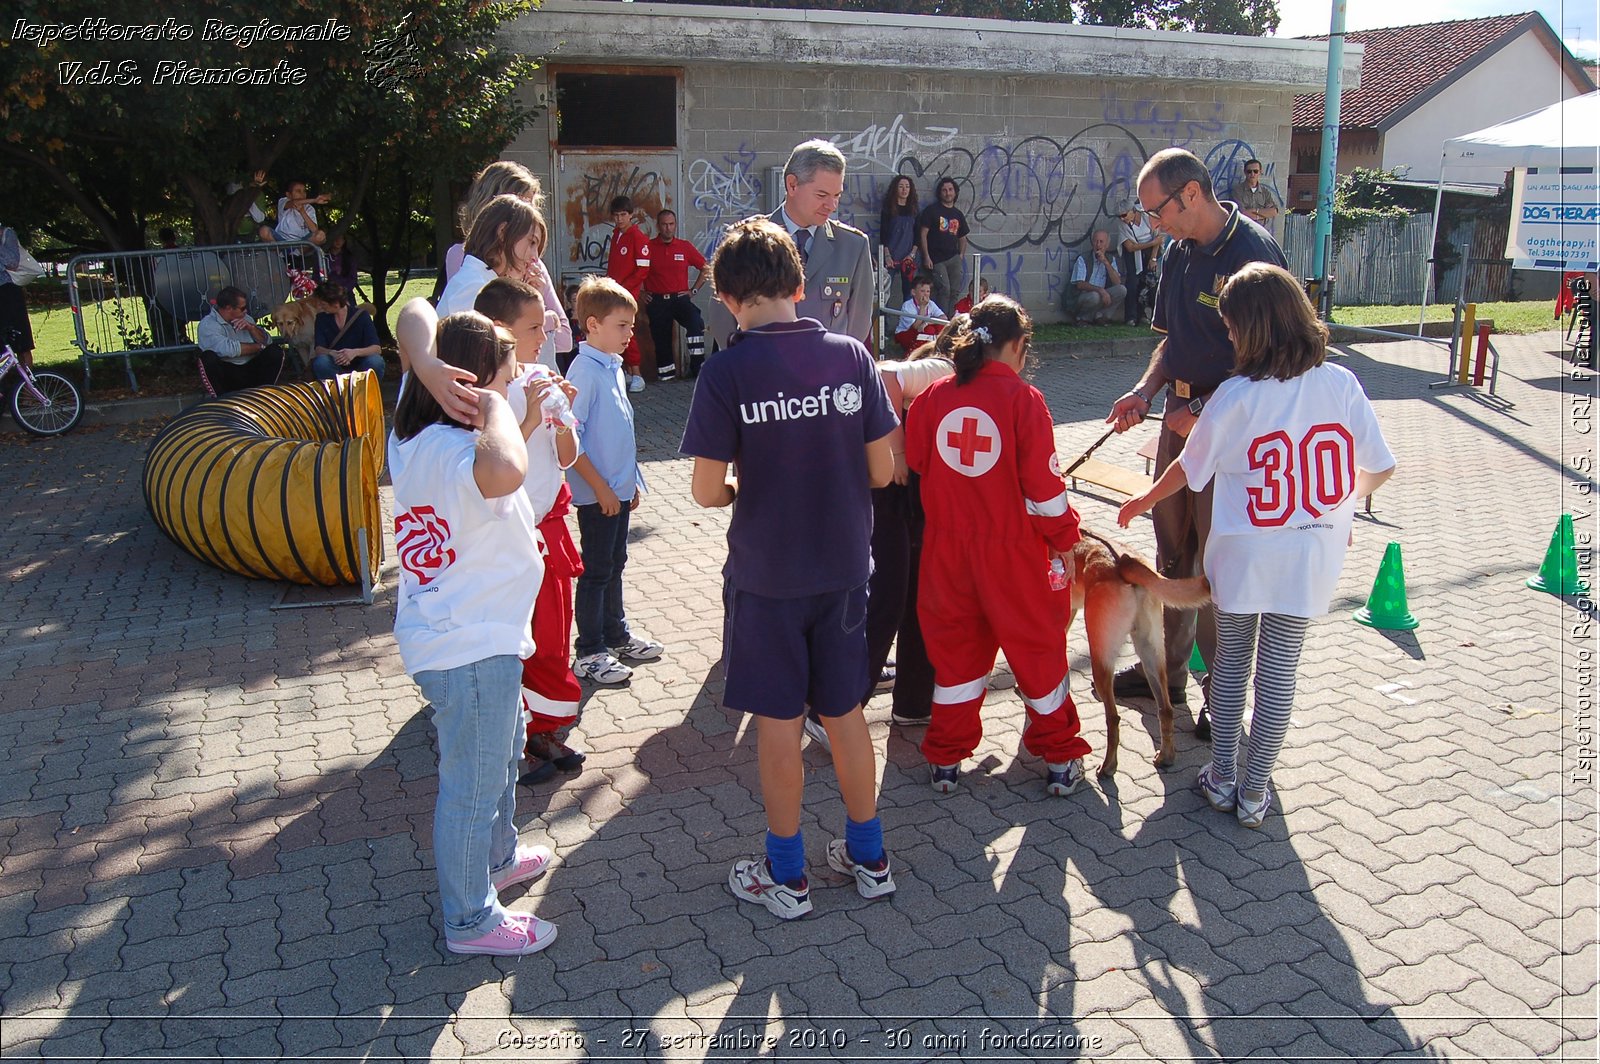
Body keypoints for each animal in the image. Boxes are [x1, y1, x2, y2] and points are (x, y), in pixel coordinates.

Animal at [1062, 534, 1209, 777]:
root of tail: (1123, 563)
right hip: (1152, 653)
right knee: (1166, 709)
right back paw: (1166, 757)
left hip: (1100, 657)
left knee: (1113, 718)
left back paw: (1108, 767)